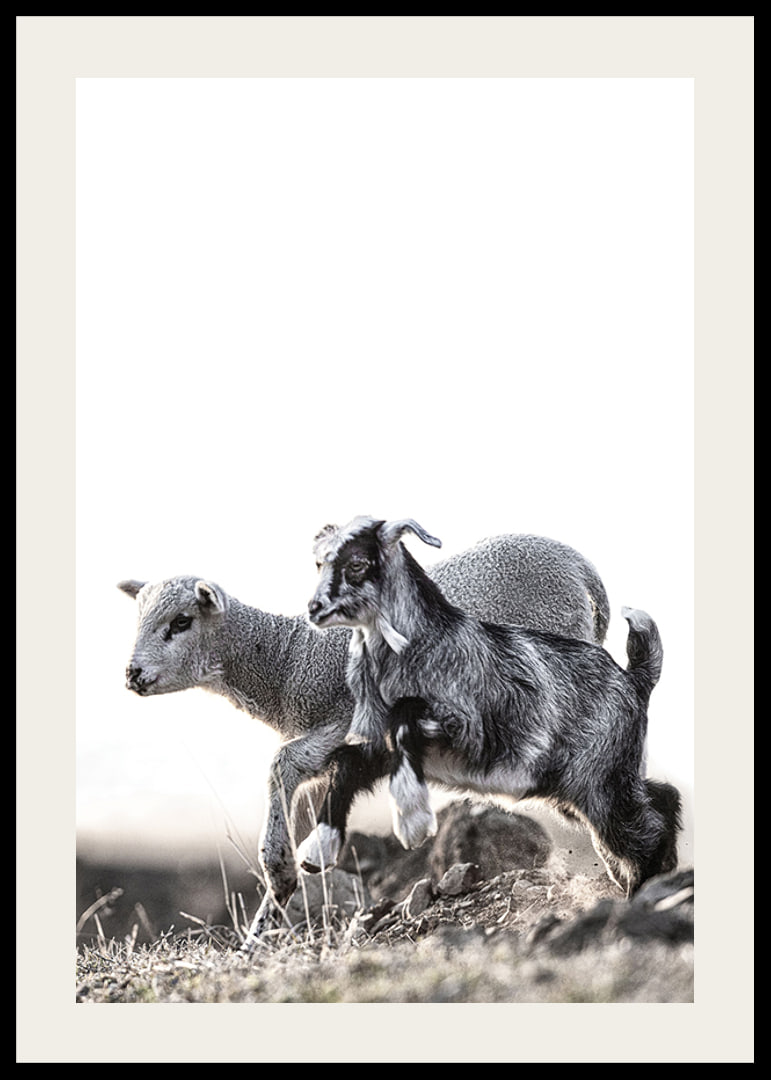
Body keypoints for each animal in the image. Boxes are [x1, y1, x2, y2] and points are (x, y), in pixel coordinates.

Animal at [118, 530, 610, 945]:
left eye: (181, 622)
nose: (132, 674)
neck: (287, 660)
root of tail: (578, 563)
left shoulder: (342, 722)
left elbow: (282, 765)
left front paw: (281, 878)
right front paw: (262, 927)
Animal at [307, 516, 682, 897]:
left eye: (357, 564)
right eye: (320, 562)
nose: (314, 610)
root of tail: (635, 678)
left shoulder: (467, 729)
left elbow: (404, 717)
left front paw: (413, 821)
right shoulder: (374, 744)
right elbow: (345, 765)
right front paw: (316, 851)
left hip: (600, 782)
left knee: (641, 829)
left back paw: (643, 889)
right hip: (588, 783)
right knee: (659, 798)